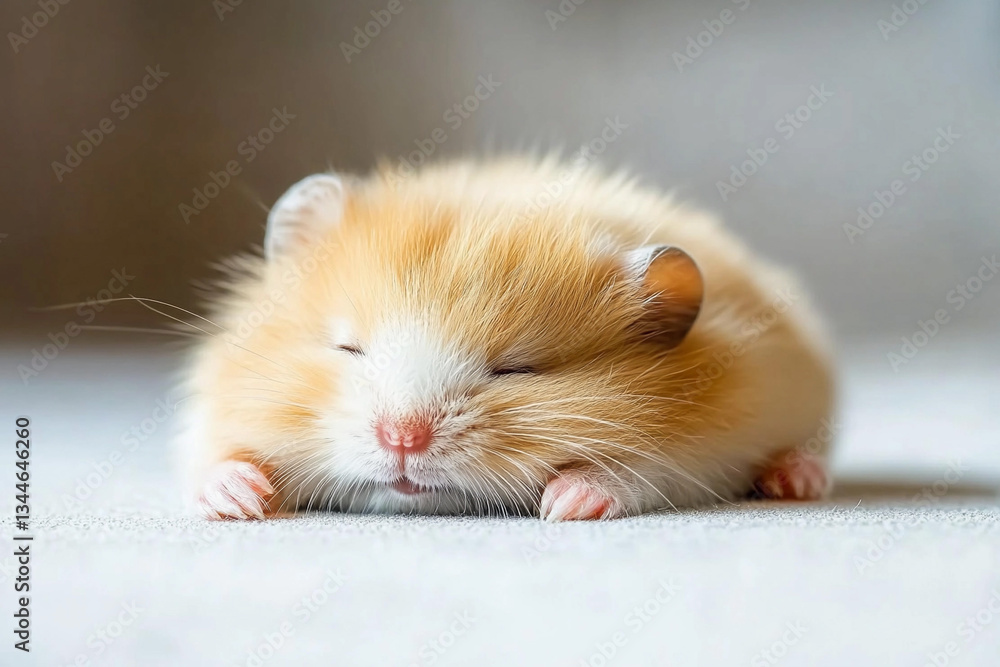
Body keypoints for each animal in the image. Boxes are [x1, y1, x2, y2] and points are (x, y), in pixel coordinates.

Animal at [176, 157, 835, 521]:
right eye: (348, 348)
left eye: (517, 369)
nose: (402, 440)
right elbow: (214, 457)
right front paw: (239, 501)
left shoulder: (701, 450)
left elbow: (635, 470)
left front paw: (565, 504)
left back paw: (795, 479)